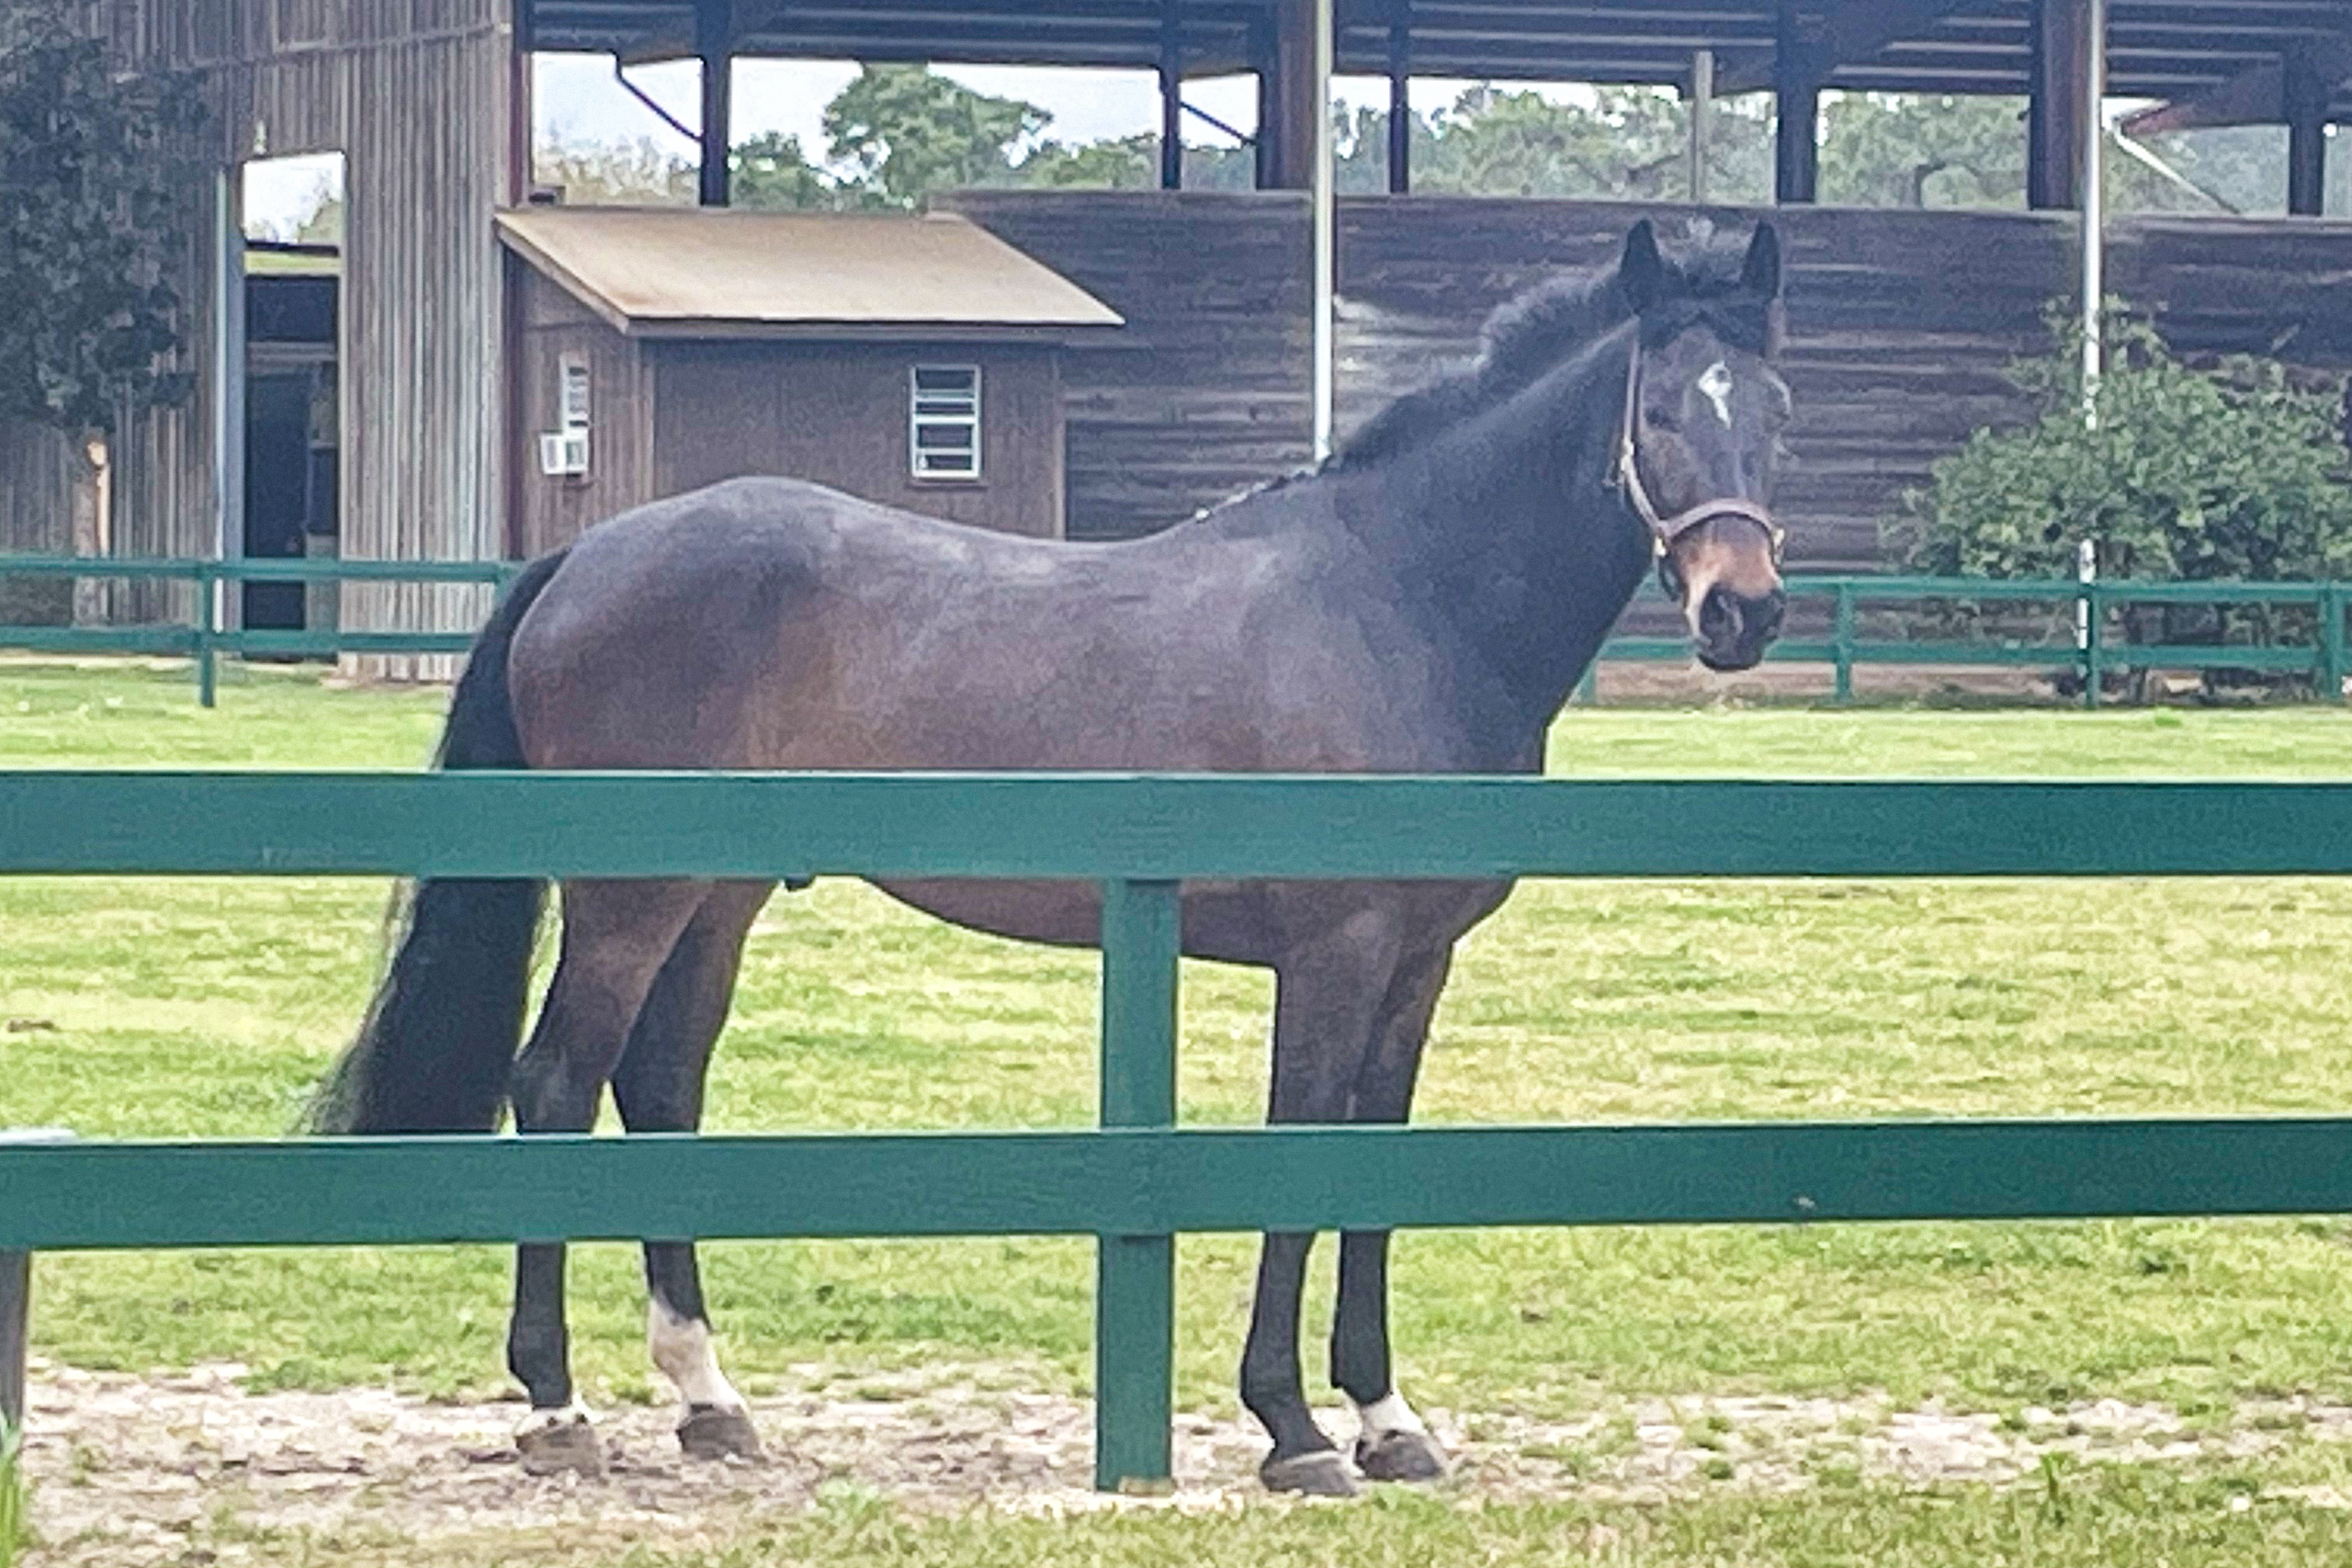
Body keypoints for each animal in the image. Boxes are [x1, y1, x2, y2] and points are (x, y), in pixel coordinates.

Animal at [308, 217, 1778, 1495]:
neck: (1400, 600)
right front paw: (1295, 1429)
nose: (1742, 612)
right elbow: (1297, 1158)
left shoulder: (1417, 966)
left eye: (1769, 404)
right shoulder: (1333, 957)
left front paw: (1387, 1420)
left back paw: (709, 1397)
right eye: (1658, 412)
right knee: (558, 1084)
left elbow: (1370, 1168)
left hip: (714, 904)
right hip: (628, 900)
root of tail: (586, 550)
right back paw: (559, 1409)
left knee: (659, 1086)